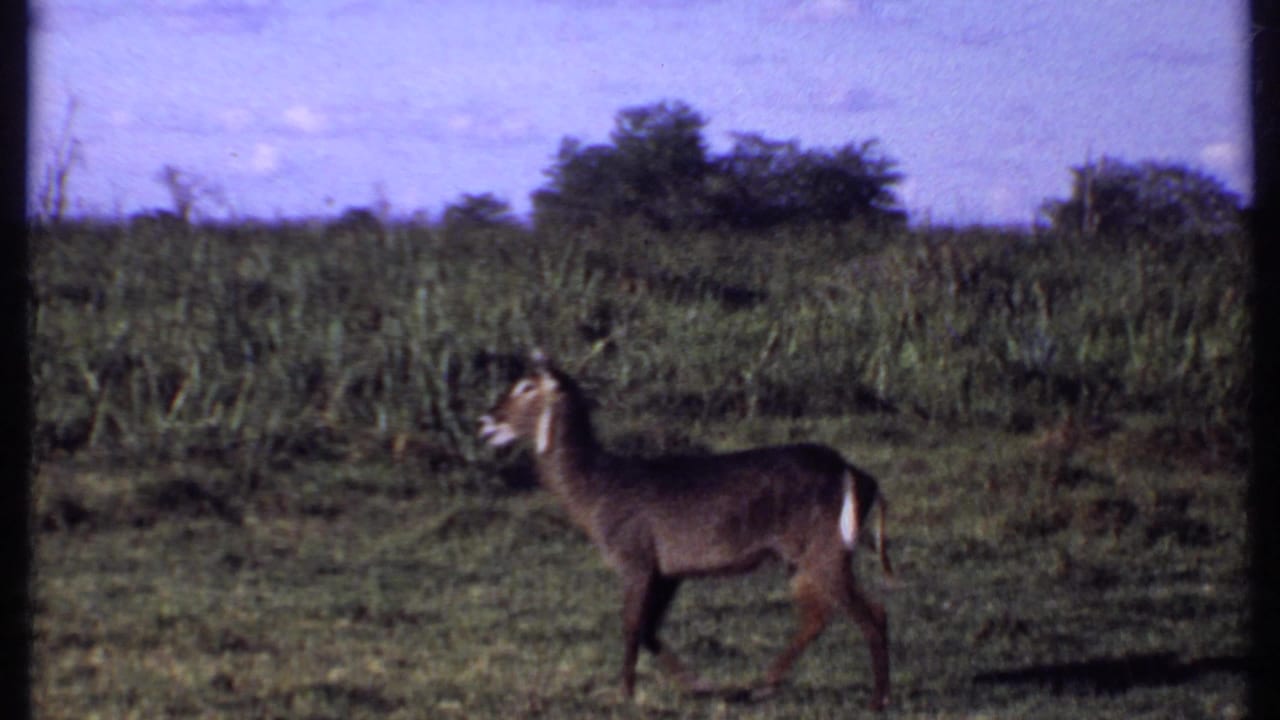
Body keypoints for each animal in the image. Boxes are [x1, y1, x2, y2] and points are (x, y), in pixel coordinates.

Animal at [478, 354, 893, 709]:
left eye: (526, 386)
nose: (486, 420)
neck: (595, 493)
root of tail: (856, 474)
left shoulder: (635, 559)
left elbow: (631, 626)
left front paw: (624, 693)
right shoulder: (669, 572)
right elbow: (649, 630)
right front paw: (697, 684)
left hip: (826, 549)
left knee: (871, 613)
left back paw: (876, 700)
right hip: (801, 557)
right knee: (819, 616)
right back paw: (763, 684)